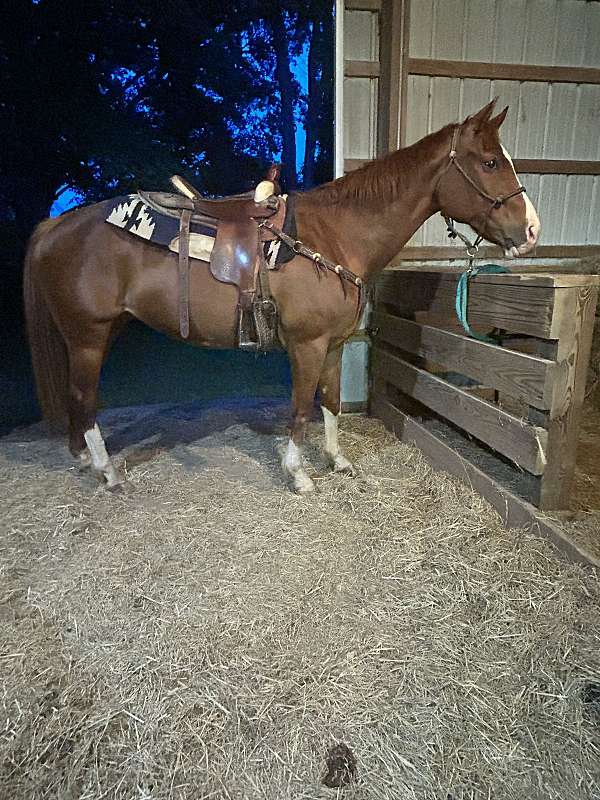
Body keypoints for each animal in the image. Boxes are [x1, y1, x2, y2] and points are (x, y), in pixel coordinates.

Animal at [24, 99, 540, 494]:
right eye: (490, 162)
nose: (532, 231)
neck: (334, 236)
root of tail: (57, 224)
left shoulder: (334, 345)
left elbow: (330, 402)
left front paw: (336, 460)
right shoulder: (307, 345)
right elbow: (300, 406)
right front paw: (299, 474)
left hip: (103, 332)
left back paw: (86, 460)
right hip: (88, 338)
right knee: (84, 397)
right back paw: (108, 472)